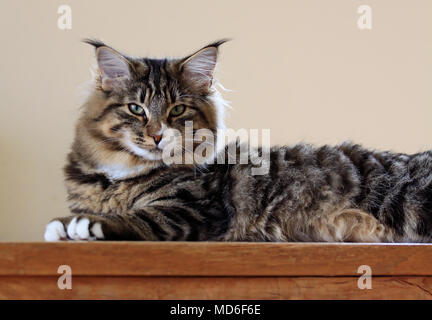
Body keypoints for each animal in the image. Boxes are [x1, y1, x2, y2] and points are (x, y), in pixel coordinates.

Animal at [44, 38, 432, 241]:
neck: (120, 176)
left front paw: (83, 226)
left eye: (177, 110)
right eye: (136, 108)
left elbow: (136, 220)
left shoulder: (192, 209)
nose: (156, 135)